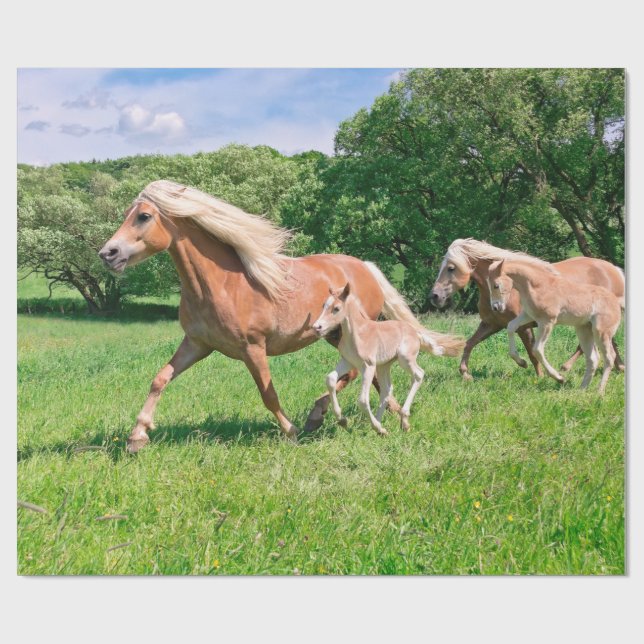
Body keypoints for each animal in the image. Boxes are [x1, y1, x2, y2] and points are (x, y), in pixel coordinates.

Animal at [311, 283, 464, 435]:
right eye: (324, 305)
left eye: (336, 308)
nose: (316, 327)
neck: (357, 334)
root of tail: (415, 332)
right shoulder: (348, 361)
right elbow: (330, 379)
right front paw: (342, 420)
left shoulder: (368, 366)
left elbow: (362, 400)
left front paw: (375, 427)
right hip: (384, 365)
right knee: (387, 389)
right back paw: (381, 425)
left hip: (404, 359)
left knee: (419, 374)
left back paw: (400, 421)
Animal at [430, 238, 625, 380]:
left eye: (451, 268)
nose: (434, 296)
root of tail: (614, 269)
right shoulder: (491, 324)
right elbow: (469, 343)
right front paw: (465, 373)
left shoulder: (524, 327)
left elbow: (532, 352)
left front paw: (538, 374)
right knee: (607, 342)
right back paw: (619, 366)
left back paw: (566, 367)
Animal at [487, 257, 622, 394]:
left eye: (496, 285)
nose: (495, 307)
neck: (538, 286)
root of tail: (616, 301)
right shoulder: (528, 315)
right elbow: (511, 327)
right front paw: (522, 362)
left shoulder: (547, 322)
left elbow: (537, 349)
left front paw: (559, 378)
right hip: (584, 330)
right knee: (593, 358)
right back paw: (581, 389)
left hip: (601, 332)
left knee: (609, 357)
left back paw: (599, 391)